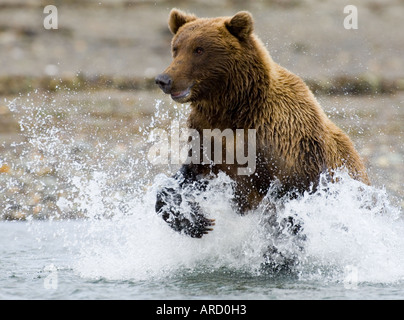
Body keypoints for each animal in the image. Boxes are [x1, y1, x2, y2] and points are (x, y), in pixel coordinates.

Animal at [154, 8, 370, 238]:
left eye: (199, 49)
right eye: (176, 48)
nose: (164, 79)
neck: (235, 110)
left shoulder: (288, 146)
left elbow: (293, 201)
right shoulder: (207, 135)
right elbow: (190, 174)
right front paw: (194, 220)